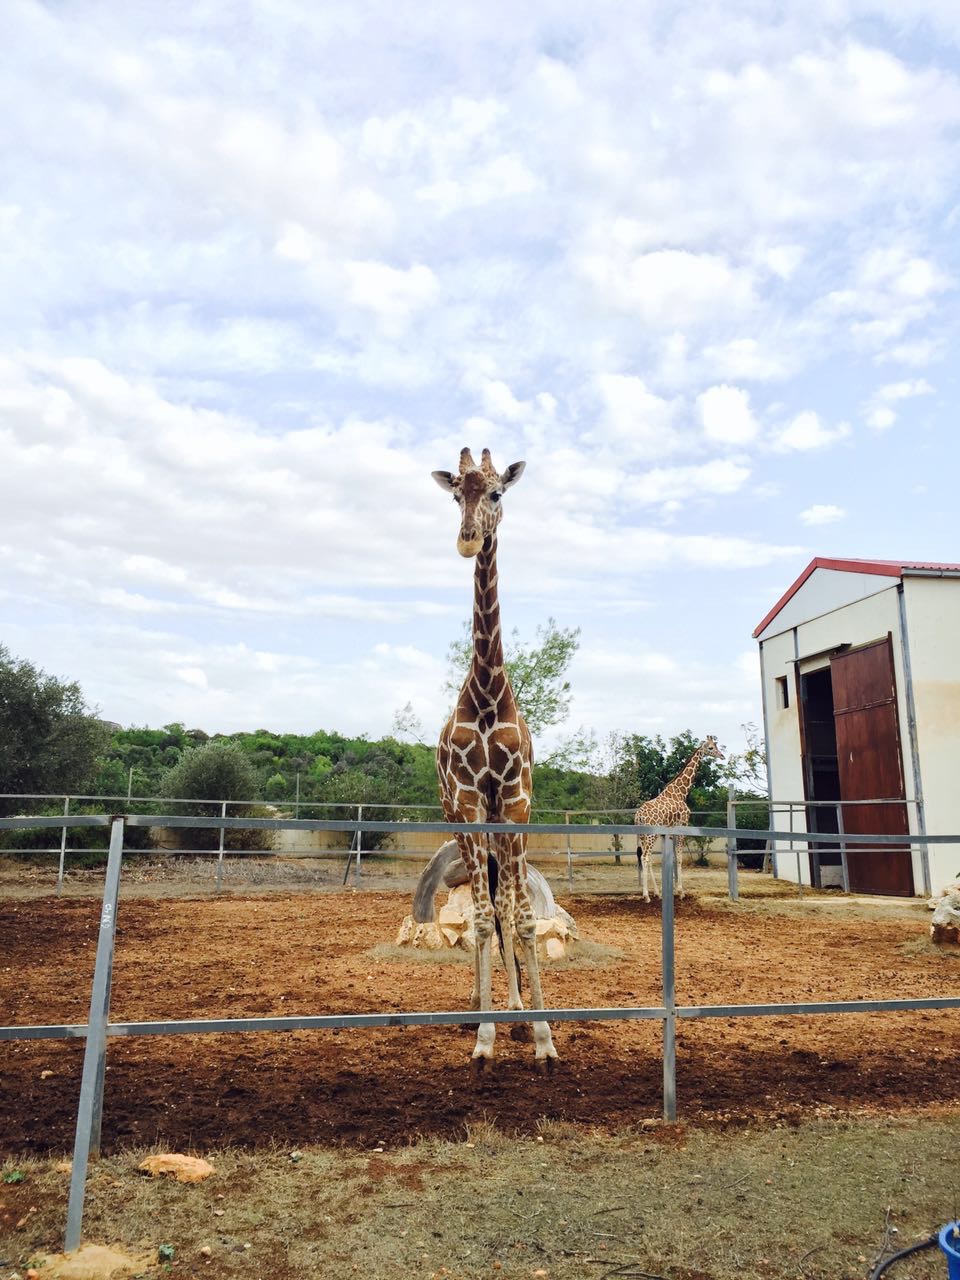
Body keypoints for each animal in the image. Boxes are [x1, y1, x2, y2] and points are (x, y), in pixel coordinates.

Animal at [634, 737, 727, 906]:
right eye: (711, 748)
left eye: (716, 745)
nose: (722, 755)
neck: (682, 791)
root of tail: (638, 816)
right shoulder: (682, 826)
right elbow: (679, 857)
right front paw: (681, 892)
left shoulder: (668, 831)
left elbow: (670, 858)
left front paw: (670, 890)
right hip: (650, 835)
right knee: (645, 857)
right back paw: (646, 896)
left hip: (643, 836)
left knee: (646, 858)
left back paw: (656, 893)